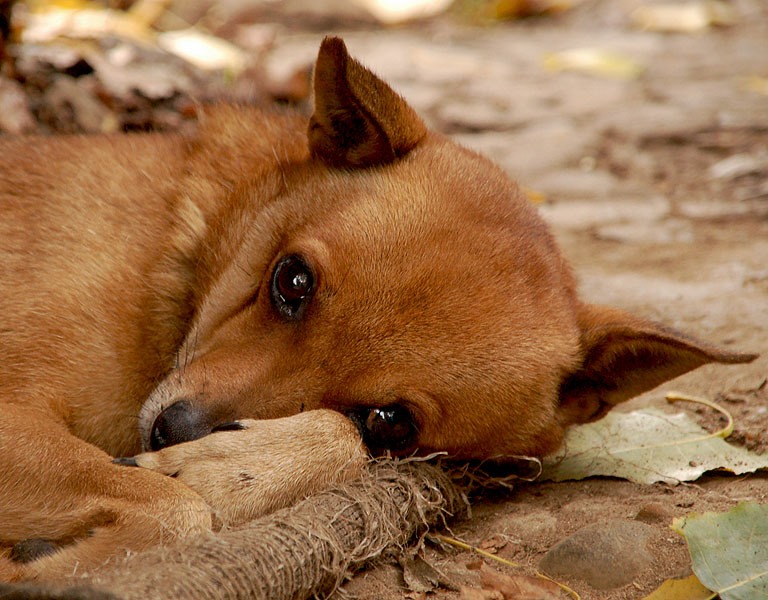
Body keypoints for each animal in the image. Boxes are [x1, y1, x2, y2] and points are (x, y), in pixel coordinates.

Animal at [0, 37, 756, 580]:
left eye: (389, 423)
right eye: (292, 280)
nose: (170, 431)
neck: (184, 246)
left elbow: (201, 500)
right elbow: (176, 512)